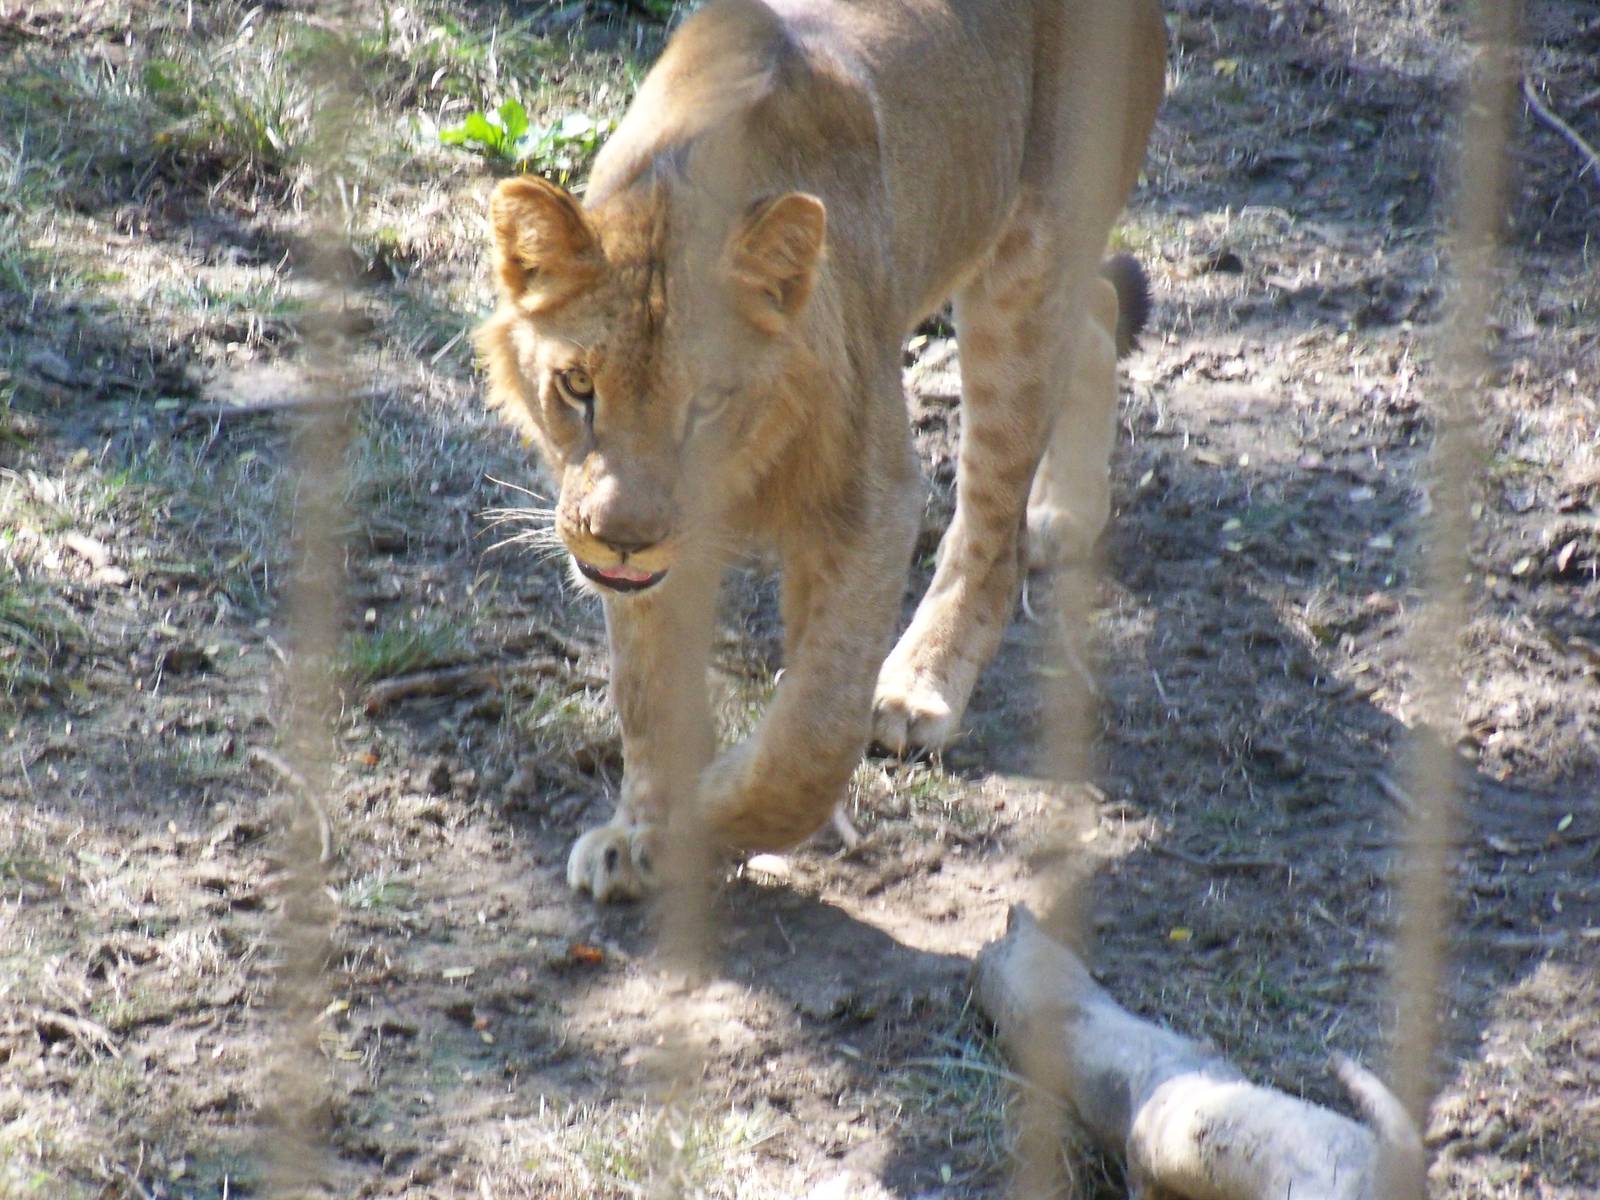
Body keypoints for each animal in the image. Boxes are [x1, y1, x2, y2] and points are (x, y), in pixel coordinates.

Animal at [475, 0, 1166, 901]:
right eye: (578, 385)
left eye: (707, 403)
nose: (621, 540)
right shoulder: (639, 545)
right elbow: (647, 690)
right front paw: (640, 830)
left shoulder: (867, 500)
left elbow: (813, 729)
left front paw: (699, 817)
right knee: (1094, 316)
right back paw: (1062, 514)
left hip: (1026, 268)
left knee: (992, 525)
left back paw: (921, 682)